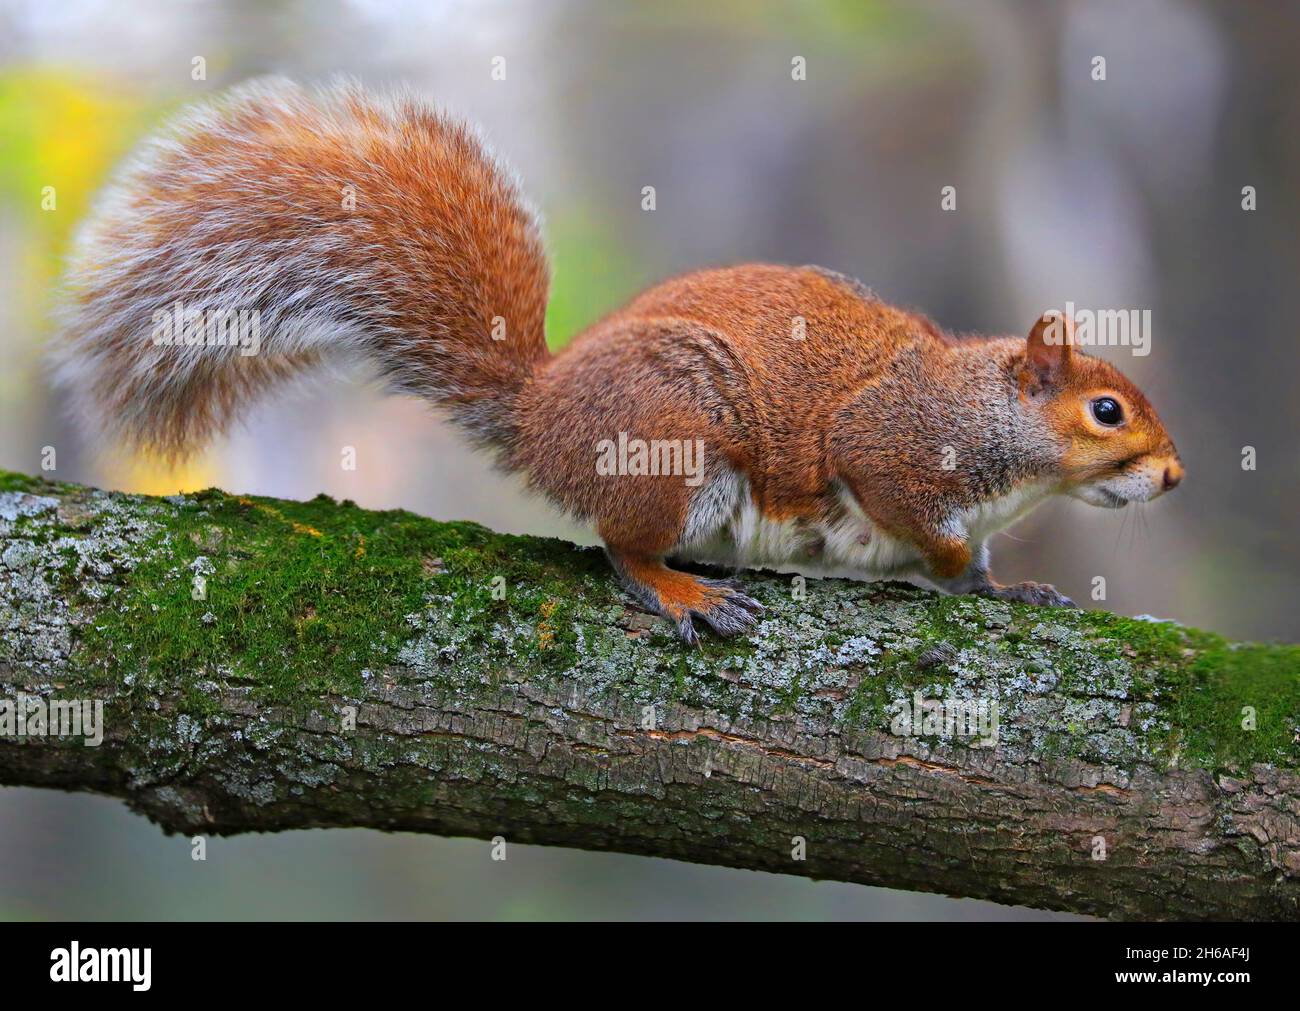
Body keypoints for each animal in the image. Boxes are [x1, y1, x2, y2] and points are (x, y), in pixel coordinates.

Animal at [52, 79, 1184, 645]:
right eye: (1106, 411)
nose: (1174, 477)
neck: (992, 427)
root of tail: (541, 414)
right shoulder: (895, 448)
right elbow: (923, 530)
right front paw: (955, 573)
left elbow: (981, 565)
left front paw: (1011, 589)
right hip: (677, 451)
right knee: (619, 547)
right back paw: (682, 593)